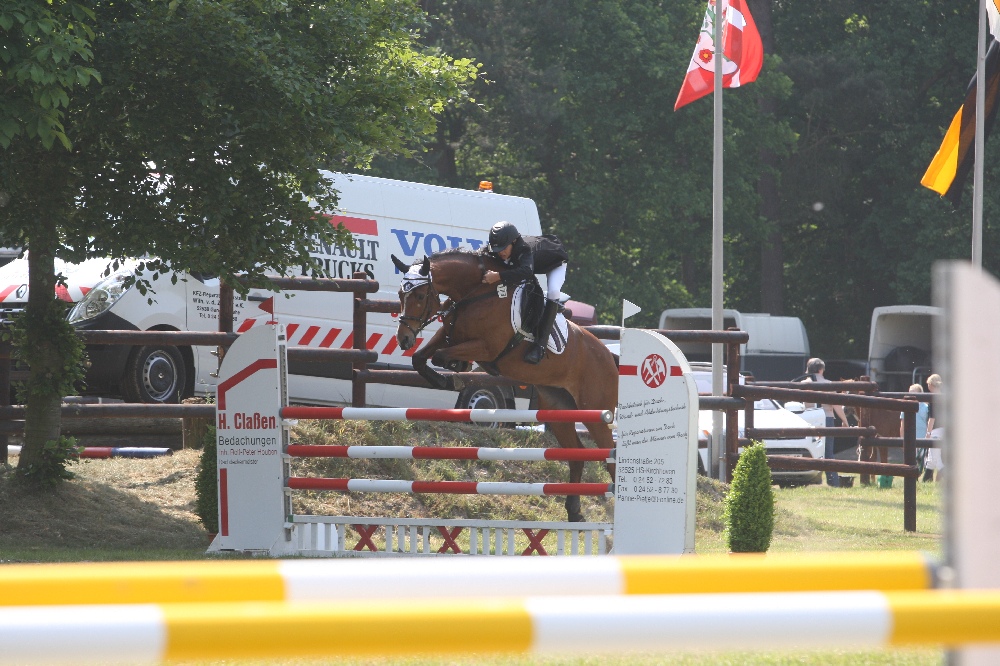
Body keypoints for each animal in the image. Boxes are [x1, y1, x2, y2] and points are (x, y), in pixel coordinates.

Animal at [391, 249, 618, 522]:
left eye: (420, 295)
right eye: (400, 294)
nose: (404, 339)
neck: (475, 292)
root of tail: (609, 356)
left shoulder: (486, 347)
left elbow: (440, 357)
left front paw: (455, 372)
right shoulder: (447, 335)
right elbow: (421, 358)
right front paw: (446, 377)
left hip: (595, 413)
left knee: (611, 458)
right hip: (559, 410)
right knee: (576, 455)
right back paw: (574, 511)